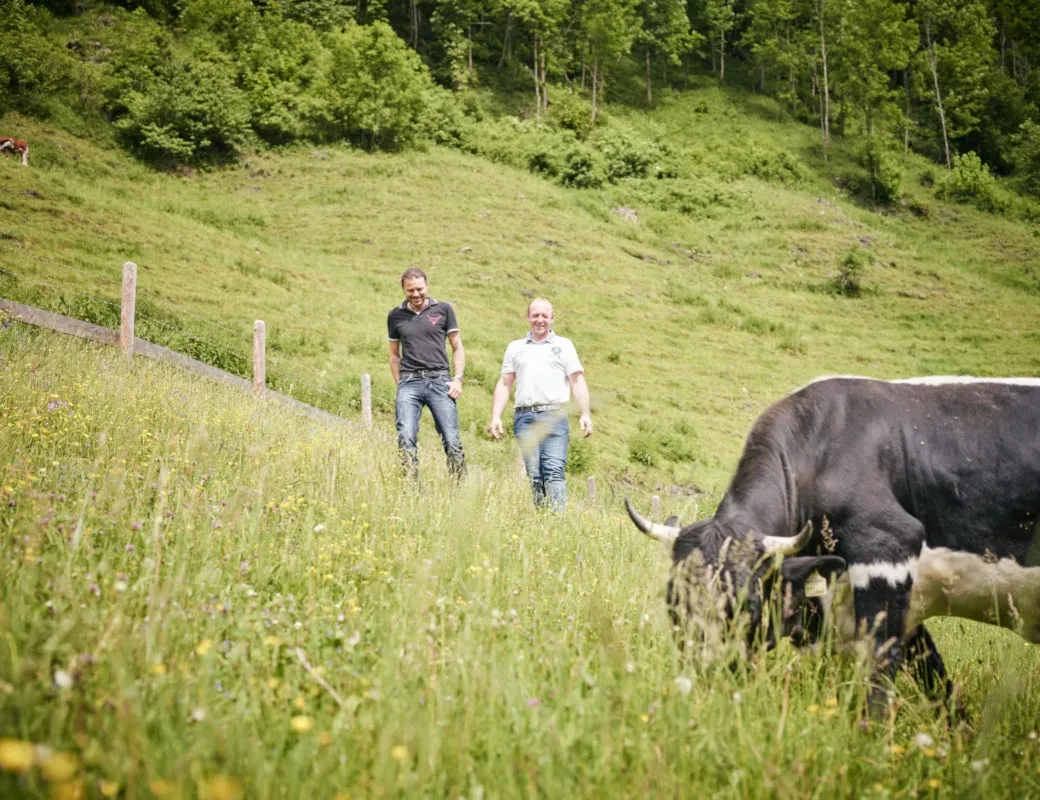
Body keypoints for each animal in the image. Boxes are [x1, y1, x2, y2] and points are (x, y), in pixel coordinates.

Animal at [624, 378, 1040, 703]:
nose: (705, 680)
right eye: (673, 603)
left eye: (750, 607)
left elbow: (878, 683)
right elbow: (938, 685)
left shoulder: (886, 561)